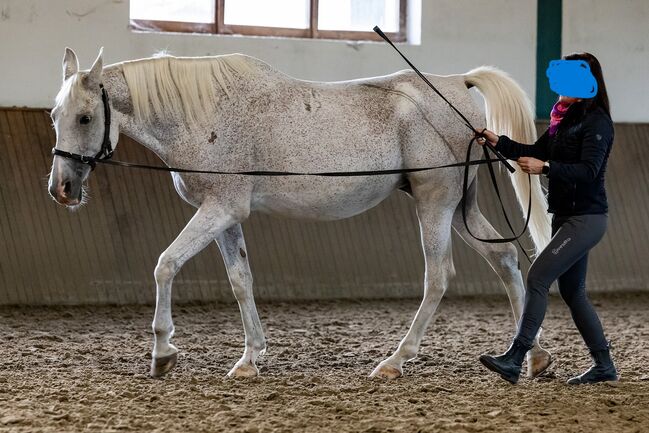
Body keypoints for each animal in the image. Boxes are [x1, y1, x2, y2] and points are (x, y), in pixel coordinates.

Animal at [48, 48, 552, 378]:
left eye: (86, 118)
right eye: (54, 115)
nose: (62, 189)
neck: (203, 113)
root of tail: (455, 83)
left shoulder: (220, 208)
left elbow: (166, 264)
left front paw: (162, 353)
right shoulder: (226, 215)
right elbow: (240, 280)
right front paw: (249, 359)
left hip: (435, 204)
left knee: (439, 276)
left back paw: (394, 361)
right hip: (459, 208)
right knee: (506, 258)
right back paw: (530, 358)